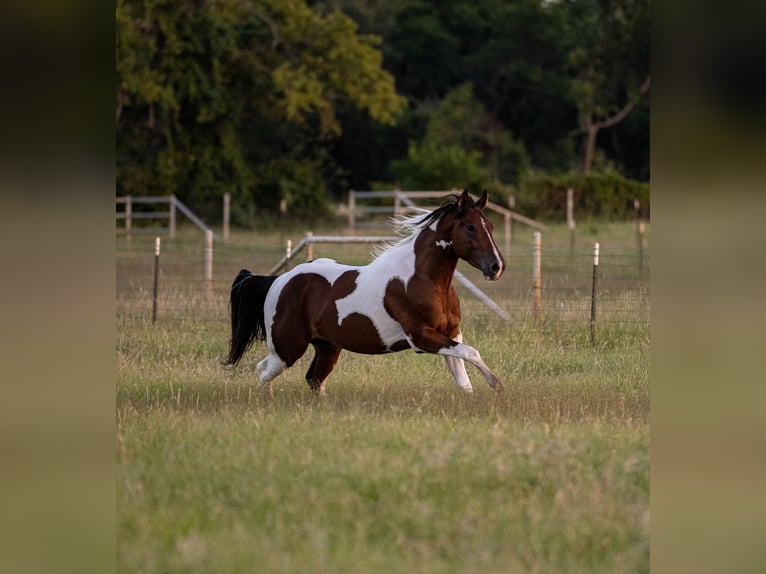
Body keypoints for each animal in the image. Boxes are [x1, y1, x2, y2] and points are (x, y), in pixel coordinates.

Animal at [225, 189, 506, 396]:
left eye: (490, 226)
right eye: (470, 227)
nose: (497, 266)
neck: (422, 280)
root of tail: (278, 280)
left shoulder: (451, 333)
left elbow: (464, 379)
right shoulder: (421, 338)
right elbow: (472, 352)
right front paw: (497, 385)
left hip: (327, 347)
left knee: (314, 379)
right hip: (288, 348)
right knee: (264, 371)